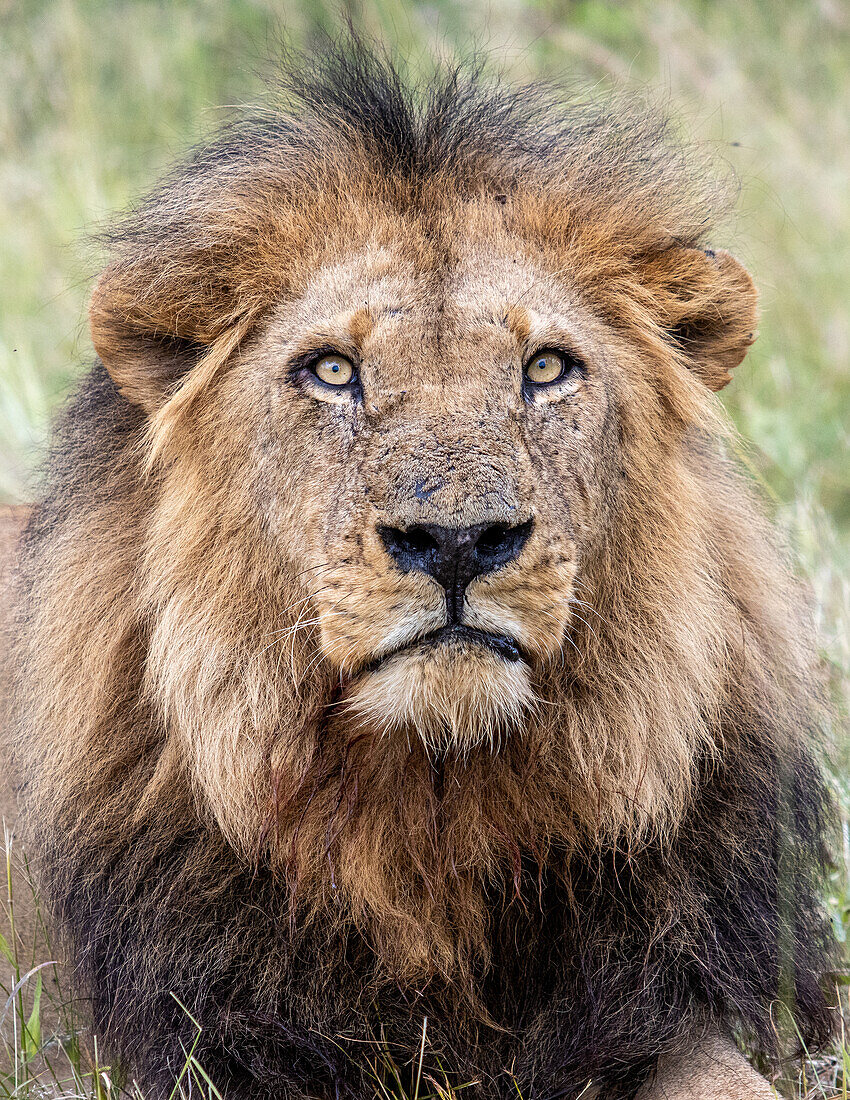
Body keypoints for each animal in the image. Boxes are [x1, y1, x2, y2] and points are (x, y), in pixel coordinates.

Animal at [0, 38, 835, 1100]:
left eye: (547, 368)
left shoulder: (654, 1006)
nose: (456, 542)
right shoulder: (193, 1043)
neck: (429, 814)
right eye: (331, 371)